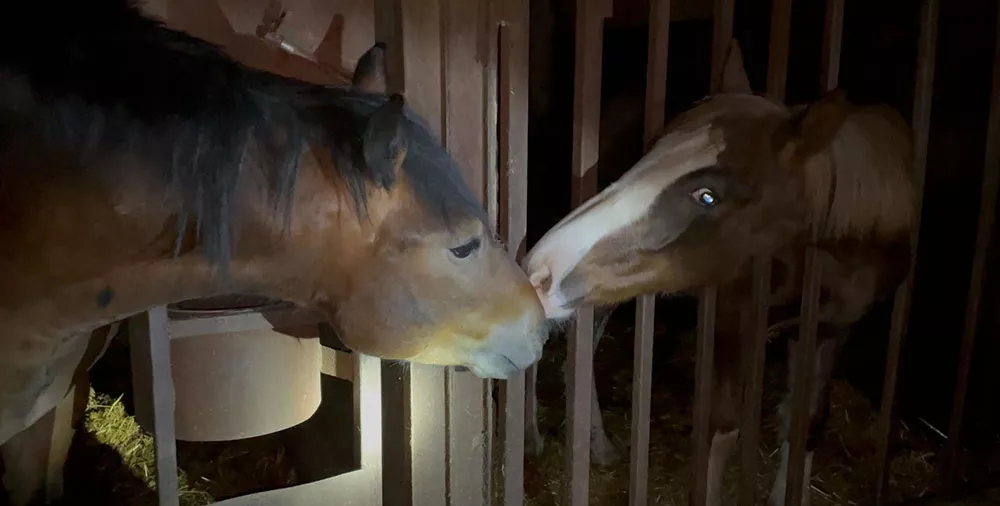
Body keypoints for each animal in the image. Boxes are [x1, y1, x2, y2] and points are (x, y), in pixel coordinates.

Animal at [522, 40, 915, 506]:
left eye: (708, 196)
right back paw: (533, 439)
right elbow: (723, 429)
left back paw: (597, 446)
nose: (540, 269)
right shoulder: (735, 318)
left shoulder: (830, 329)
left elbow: (807, 420)